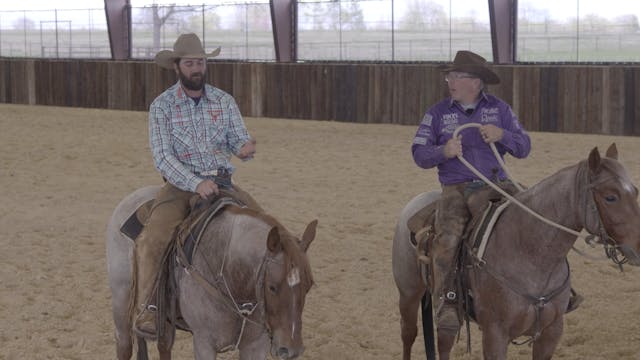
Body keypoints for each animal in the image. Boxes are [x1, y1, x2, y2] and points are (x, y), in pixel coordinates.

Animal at [105, 187, 318, 358]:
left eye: (308, 287)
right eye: (272, 287)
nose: (291, 350)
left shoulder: (257, 345)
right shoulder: (204, 342)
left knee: (164, 344)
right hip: (121, 302)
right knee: (124, 345)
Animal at [392, 144, 640, 360]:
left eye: (635, 191)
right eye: (610, 196)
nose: (638, 246)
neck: (530, 253)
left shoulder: (551, 333)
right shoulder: (495, 333)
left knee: (444, 341)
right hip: (408, 293)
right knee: (409, 333)